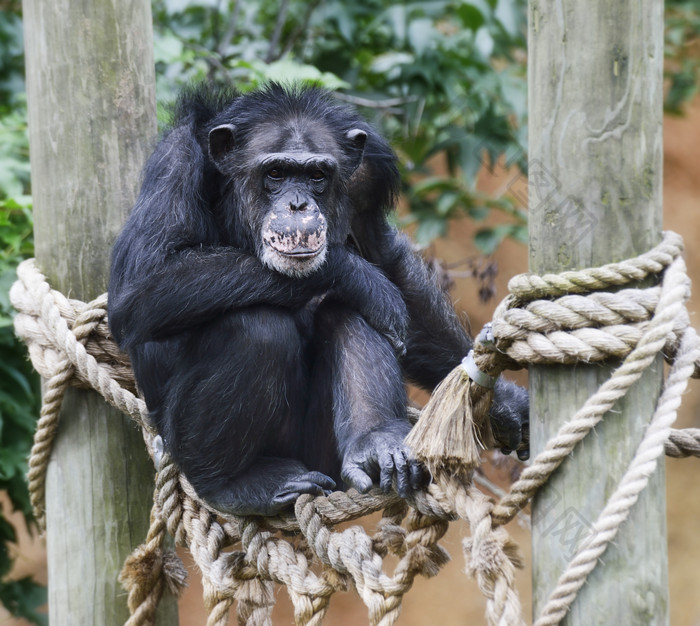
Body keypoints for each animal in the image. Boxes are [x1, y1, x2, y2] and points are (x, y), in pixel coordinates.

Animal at [108, 83, 524, 516]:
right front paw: (357, 275)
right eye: (275, 172)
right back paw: (233, 483)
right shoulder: (175, 164)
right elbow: (141, 286)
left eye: (317, 175)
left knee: (347, 312)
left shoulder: (367, 177)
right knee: (256, 327)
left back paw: (376, 444)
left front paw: (503, 401)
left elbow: (385, 258)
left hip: (322, 457)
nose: (298, 205)